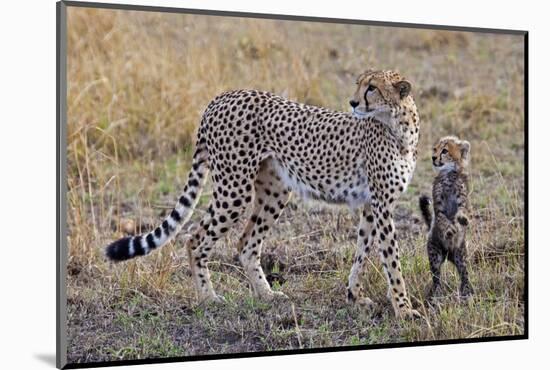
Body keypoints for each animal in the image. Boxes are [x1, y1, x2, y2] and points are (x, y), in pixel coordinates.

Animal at [104, 69, 422, 318]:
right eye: (360, 84)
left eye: (372, 87)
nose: (353, 102)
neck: (400, 126)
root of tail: (221, 97)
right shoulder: (382, 204)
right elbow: (392, 260)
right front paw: (404, 310)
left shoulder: (372, 204)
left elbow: (362, 253)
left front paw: (355, 296)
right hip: (235, 188)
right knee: (195, 239)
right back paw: (208, 298)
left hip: (274, 190)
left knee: (246, 243)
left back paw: (266, 294)